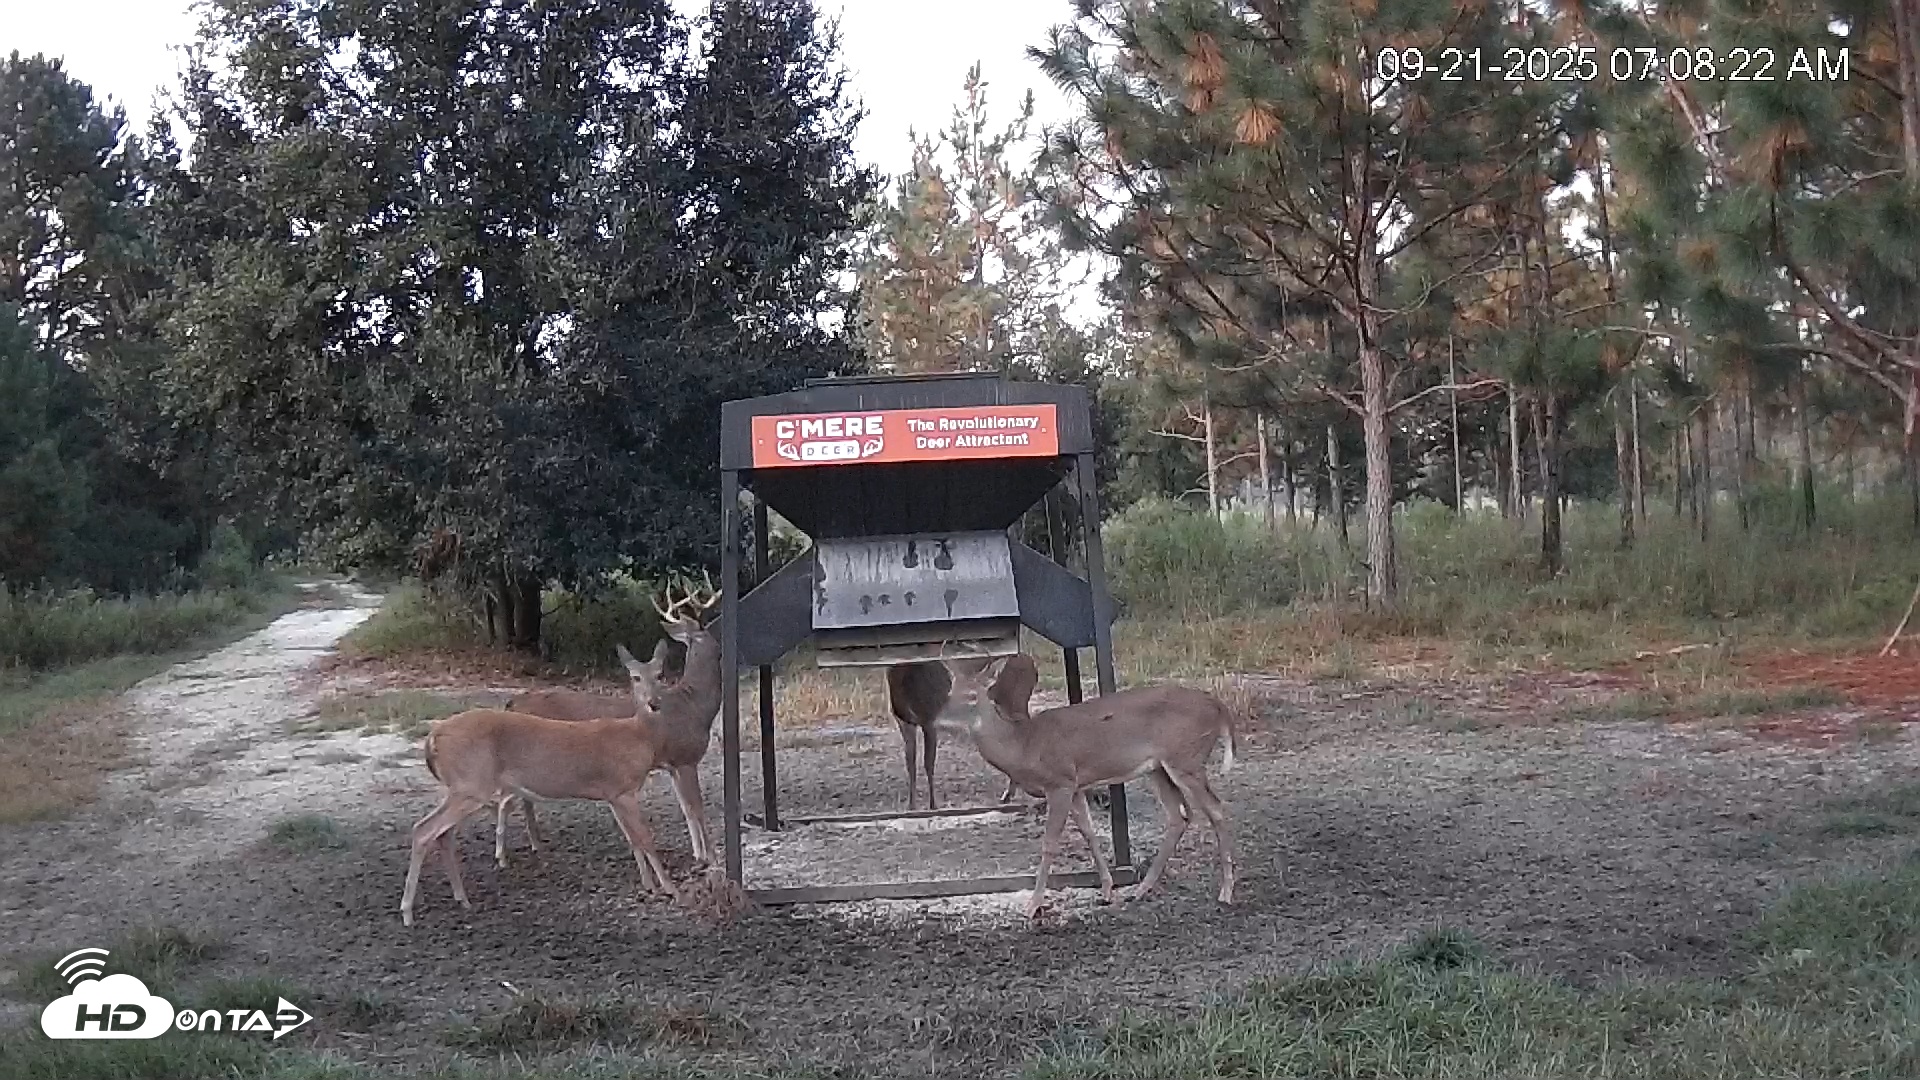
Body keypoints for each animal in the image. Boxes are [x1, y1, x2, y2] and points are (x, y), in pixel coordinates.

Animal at [399, 645, 679, 927]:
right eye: (635, 677)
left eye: (660, 674)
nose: (654, 703)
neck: (638, 736)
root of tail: (433, 738)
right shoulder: (623, 790)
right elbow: (645, 837)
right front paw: (670, 889)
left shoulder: (614, 794)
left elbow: (633, 838)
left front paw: (649, 885)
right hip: (471, 784)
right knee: (423, 830)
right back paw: (408, 912)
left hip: (460, 787)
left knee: (442, 834)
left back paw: (461, 899)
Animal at [932, 652, 1240, 919]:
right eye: (948, 693)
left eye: (972, 696)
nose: (938, 721)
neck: (1024, 746)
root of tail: (1220, 707)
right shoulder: (1077, 784)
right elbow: (1089, 832)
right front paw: (1107, 890)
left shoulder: (1060, 781)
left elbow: (1050, 843)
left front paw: (1033, 905)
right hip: (1157, 768)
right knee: (1179, 815)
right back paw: (1141, 889)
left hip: (1186, 758)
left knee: (1216, 808)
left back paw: (1226, 891)